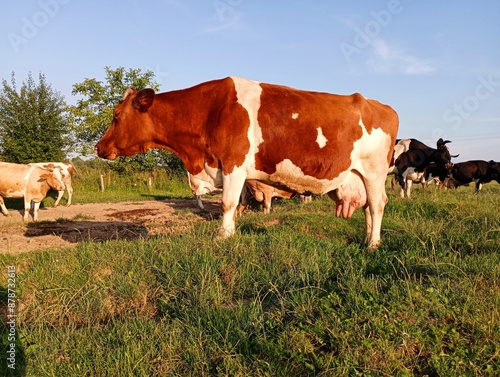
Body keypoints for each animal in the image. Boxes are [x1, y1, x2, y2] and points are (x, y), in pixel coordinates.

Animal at [94, 76, 398, 250]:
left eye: (116, 116)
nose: (98, 147)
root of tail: (380, 106)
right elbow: (236, 203)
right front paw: (228, 233)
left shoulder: (234, 164)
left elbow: (228, 203)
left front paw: (222, 237)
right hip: (359, 176)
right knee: (368, 208)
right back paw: (368, 238)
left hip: (374, 172)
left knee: (377, 204)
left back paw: (373, 244)